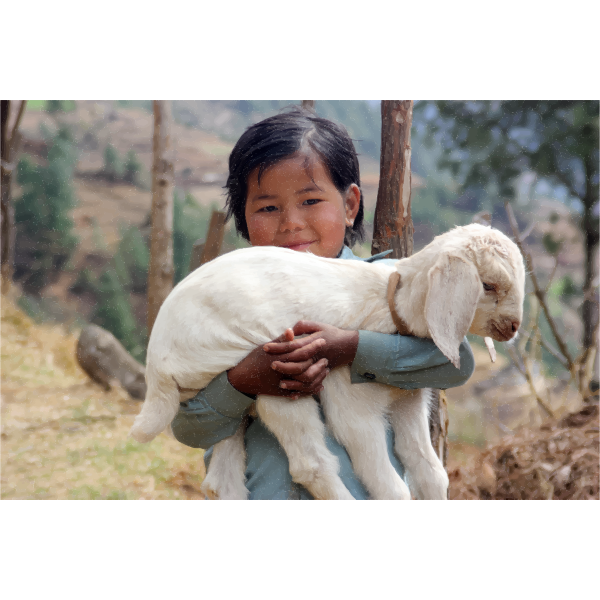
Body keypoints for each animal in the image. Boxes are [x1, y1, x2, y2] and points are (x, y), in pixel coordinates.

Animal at [131, 223, 524, 500]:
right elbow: (390, 485)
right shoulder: (352, 403)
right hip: (271, 373)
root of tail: (156, 371)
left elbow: (431, 474)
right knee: (310, 465)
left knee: (221, 479)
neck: (391, 304)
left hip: (230, 396)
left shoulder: (408, 402)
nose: (513, 327)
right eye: (488, 285)